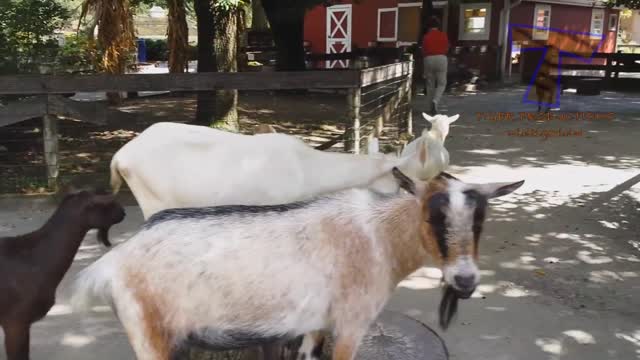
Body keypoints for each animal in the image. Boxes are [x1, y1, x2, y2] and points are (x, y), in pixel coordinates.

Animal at [74, 169, 524, 360]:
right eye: (433, 217)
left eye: (480, 221)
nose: (464, 280)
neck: (379, 236)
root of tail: (112, 262)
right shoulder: (351, 324)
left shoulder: (315, 324)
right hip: (148, 335)